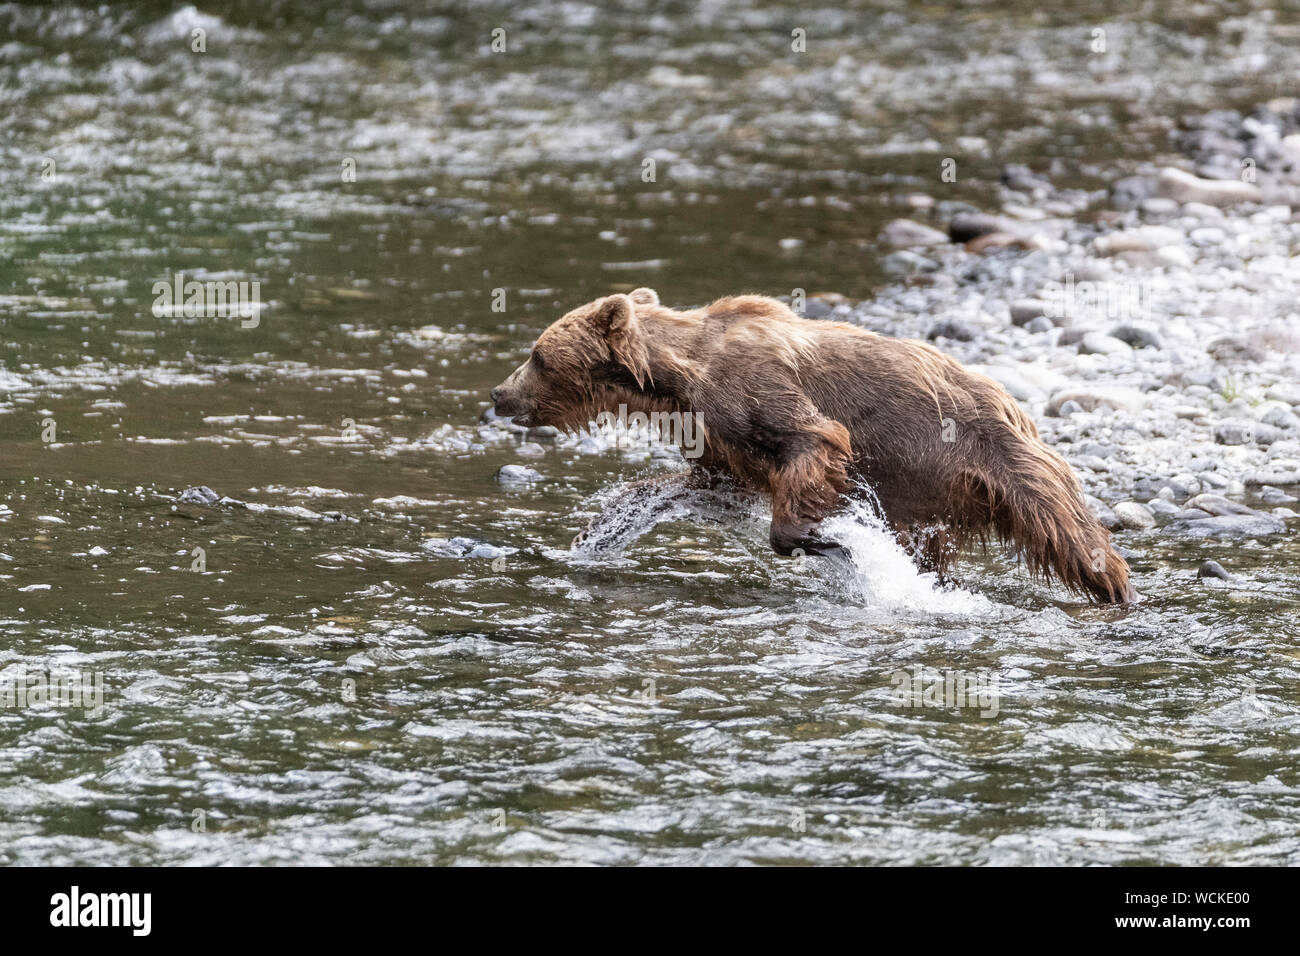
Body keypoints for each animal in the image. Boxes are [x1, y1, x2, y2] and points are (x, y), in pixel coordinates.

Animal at [491, 290, 1133, 606]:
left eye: (538, 355)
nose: (498, 394)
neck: (674, 379)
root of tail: (1014, 406)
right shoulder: (718, 434)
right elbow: (699, 483)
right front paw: (600, 528)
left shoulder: (757, 392)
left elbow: (813, 442)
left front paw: (828, 540)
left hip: (994, 458)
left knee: (1070, 532)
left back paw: (1116, 588)